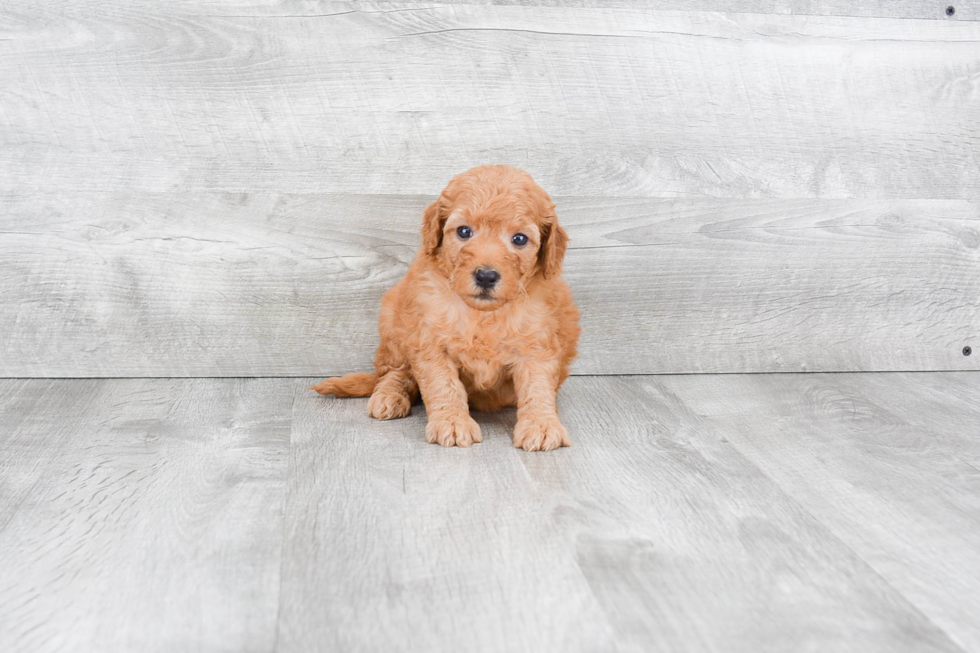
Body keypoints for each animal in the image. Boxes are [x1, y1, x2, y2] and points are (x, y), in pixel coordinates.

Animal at [310, 164, 580, 448]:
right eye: (464, 231)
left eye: (519, 239)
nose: (485, 276)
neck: (482, 314)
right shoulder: (430, 340)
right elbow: (444, 385)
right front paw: (452, 422)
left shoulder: (538, 344)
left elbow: (537, 387)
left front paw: (541, 424)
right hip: (393, 321)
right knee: (394, 372)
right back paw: (389, 396)